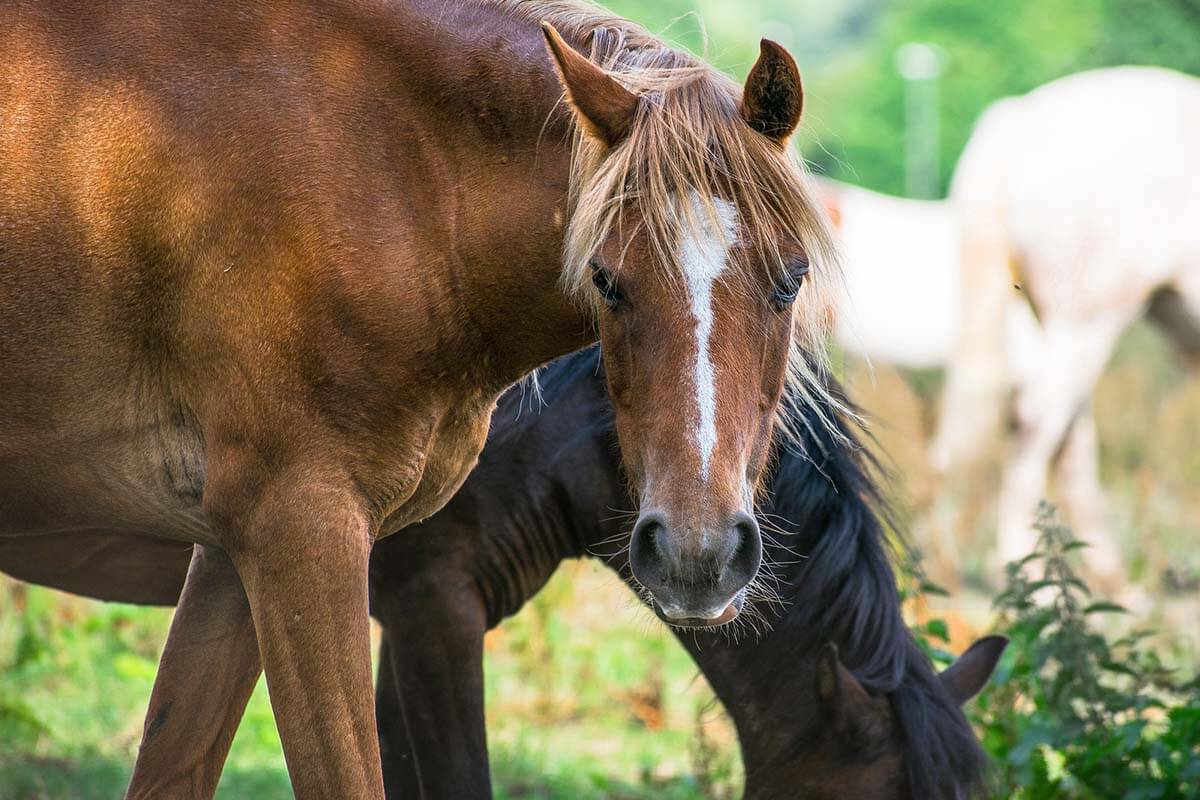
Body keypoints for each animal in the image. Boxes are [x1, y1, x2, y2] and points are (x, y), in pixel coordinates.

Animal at [2, 0, 844, 796]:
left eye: (790, 280)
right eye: (607, 280)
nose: (697, 556)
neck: (392, 178)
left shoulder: (230, 556)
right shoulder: (308, 534)